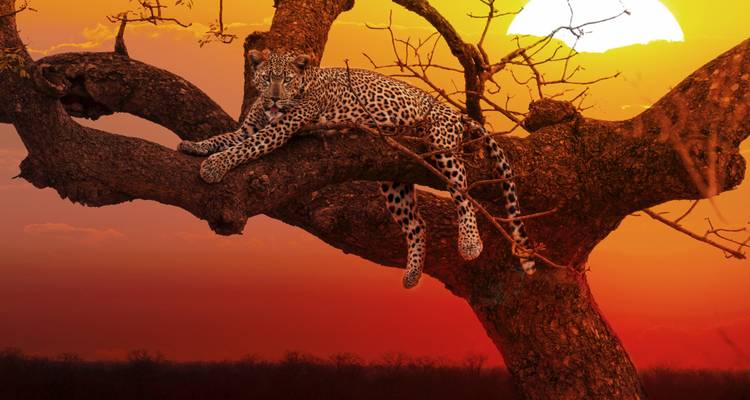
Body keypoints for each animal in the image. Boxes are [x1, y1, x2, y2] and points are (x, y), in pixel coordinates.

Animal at [178, 50, 535, 288]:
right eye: (266, 78)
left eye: (287, 80)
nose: (276, 98)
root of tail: (453, 111)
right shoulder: (250, 127)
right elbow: (226, 137)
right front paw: (196, 146)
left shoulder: (280, 129)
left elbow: (244, 148)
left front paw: (214, 166)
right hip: (393, 176)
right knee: (417, 223)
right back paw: (412, 274)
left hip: (442, 141)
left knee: (462, 191)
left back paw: (470, 243)